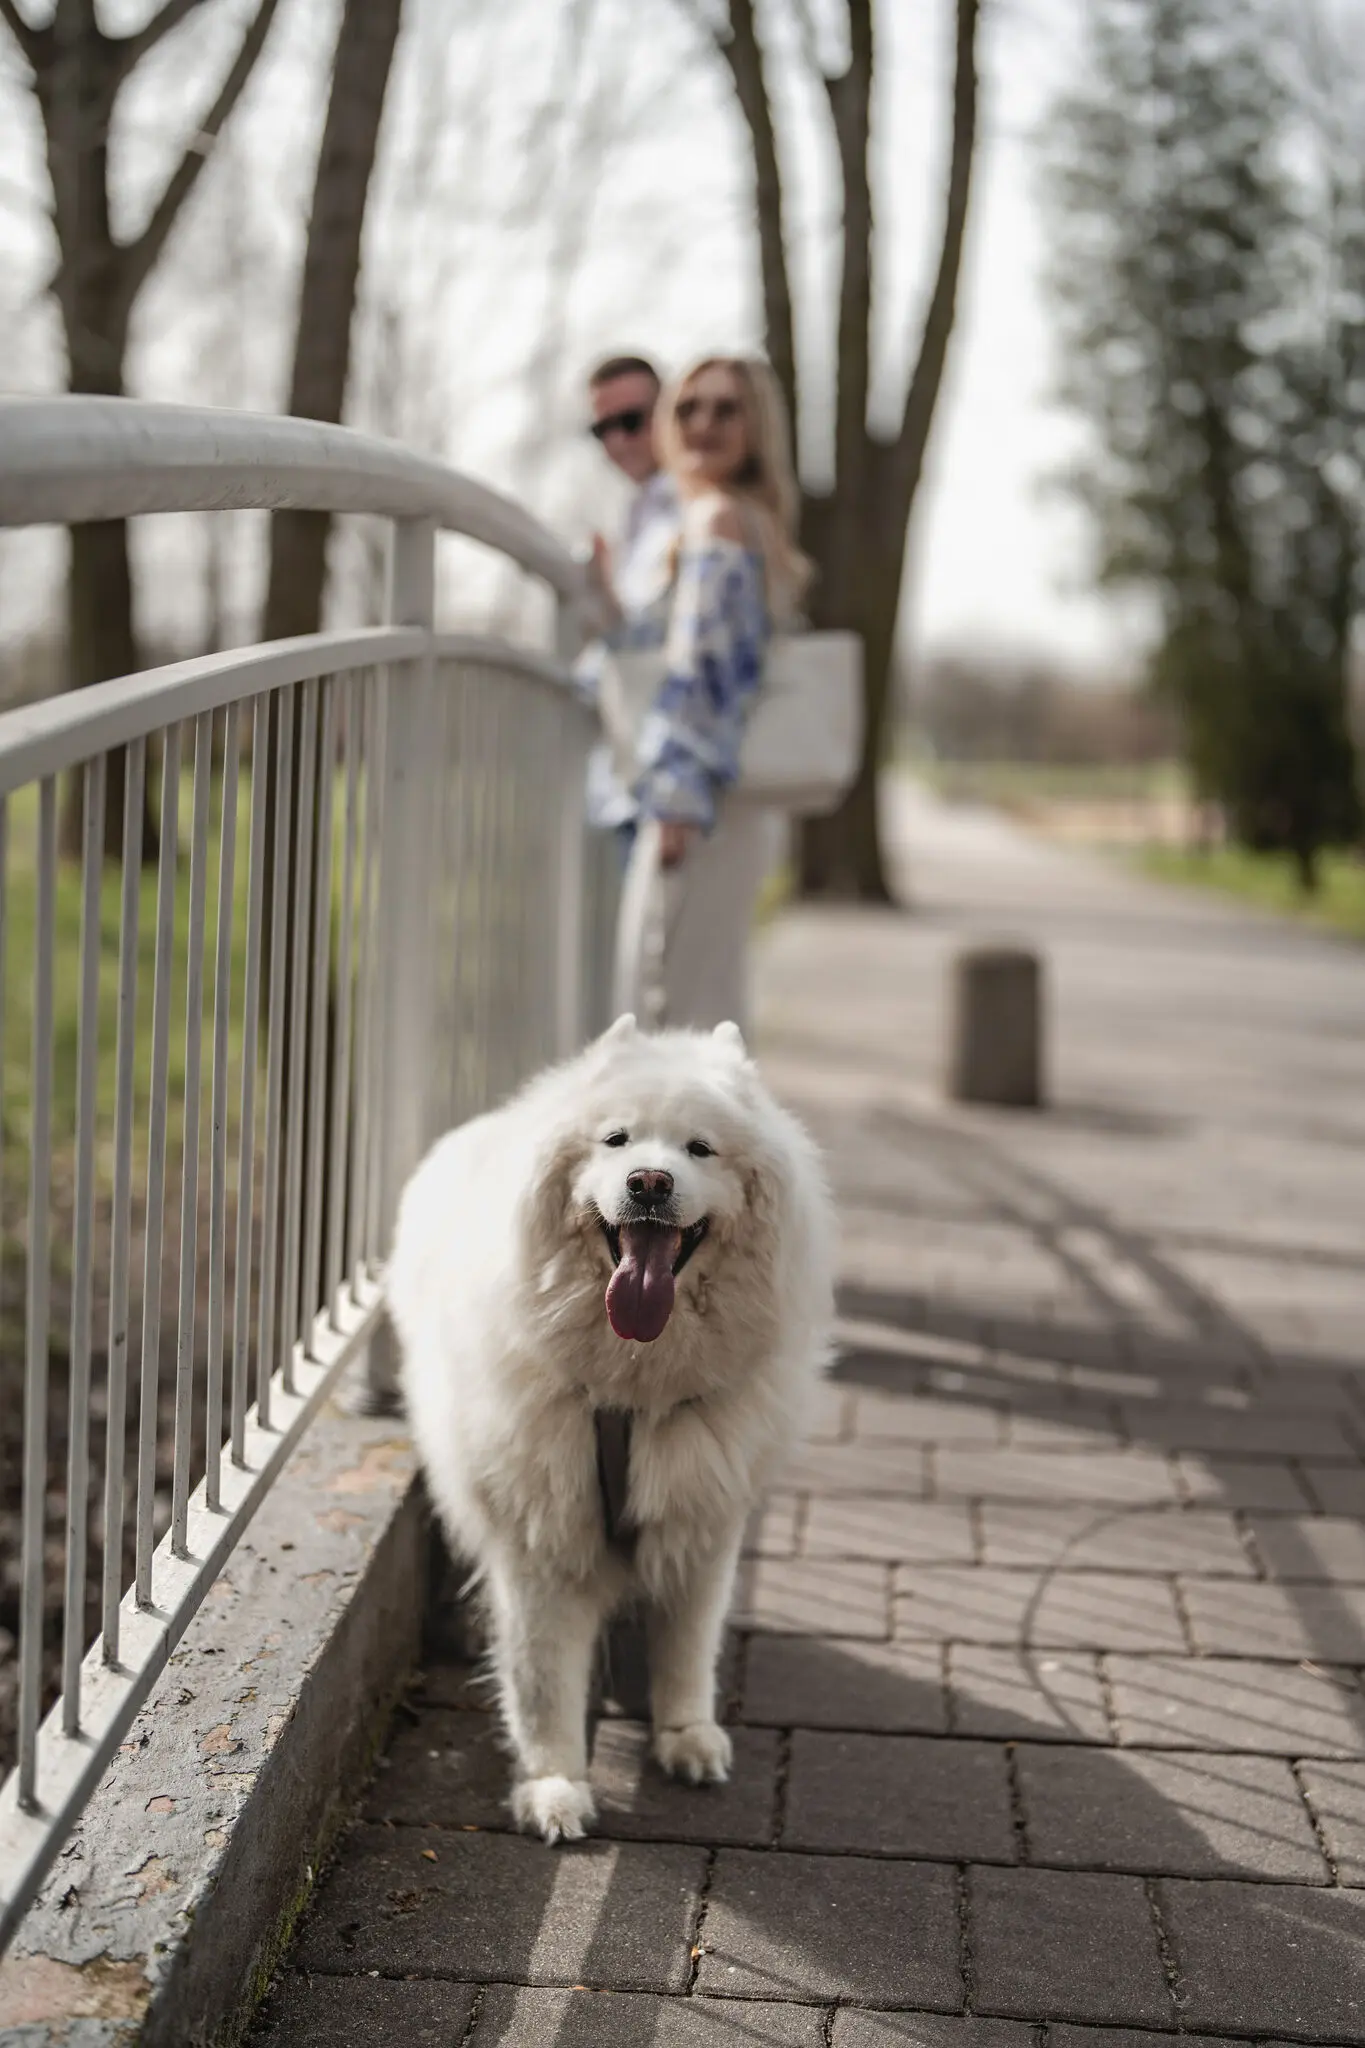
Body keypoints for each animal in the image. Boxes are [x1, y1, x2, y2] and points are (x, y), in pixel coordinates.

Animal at [386, 1012, 834, 1843]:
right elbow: (541, 1683)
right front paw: (554, 1787)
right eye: (616, 1141)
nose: (649, 1183)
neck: (631, 1388)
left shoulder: (700, 1518)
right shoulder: (541, 1540)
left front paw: (685, 1735)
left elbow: (687, 1647)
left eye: (698, 1149)